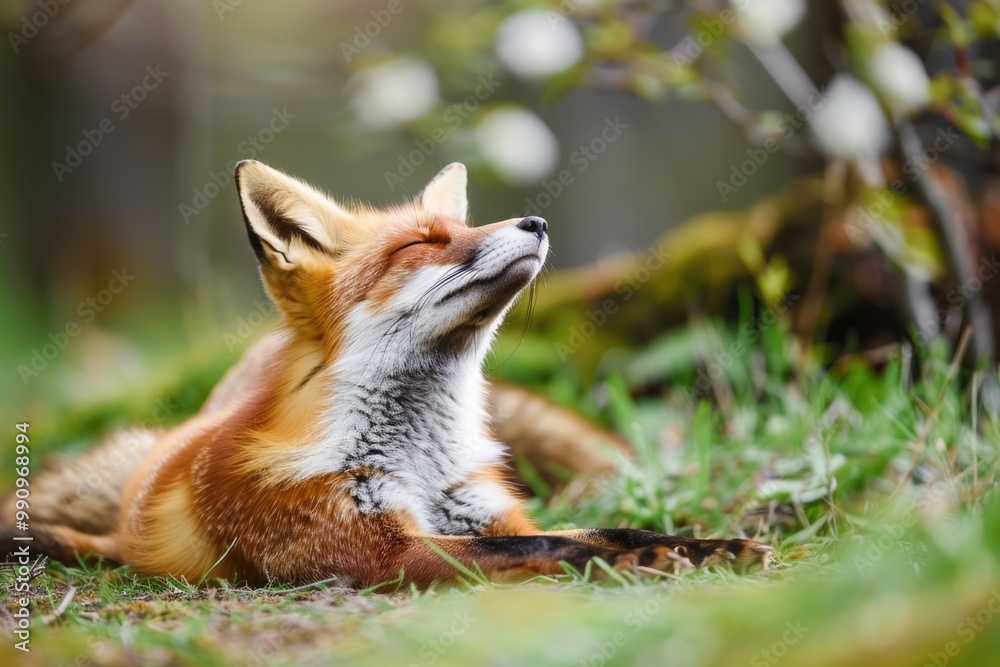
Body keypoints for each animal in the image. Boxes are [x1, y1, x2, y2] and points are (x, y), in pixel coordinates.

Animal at [3, 160, 770, 587]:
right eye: (420, 245)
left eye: (459, 228)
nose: (536, 221)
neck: (422, 459)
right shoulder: (373, 551)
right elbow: (543, 545)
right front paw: (642, 564)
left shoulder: (487, 509)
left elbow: (605, 530)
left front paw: (704, 545)